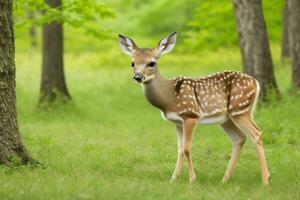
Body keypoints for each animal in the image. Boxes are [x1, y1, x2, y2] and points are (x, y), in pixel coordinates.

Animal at [118, 32, 270, 185]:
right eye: (132, 63)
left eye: (151, 63)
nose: (138, 77)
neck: (169, 98)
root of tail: (256, 83)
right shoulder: (177, 122)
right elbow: (179, 149)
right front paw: (173, 179)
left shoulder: (190, 115)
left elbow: (186, 148)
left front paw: (192, 179)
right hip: (227, 118)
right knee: (239, 138)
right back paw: (225, 179)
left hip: (240, 109)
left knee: (257, 133)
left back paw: (265, 180)